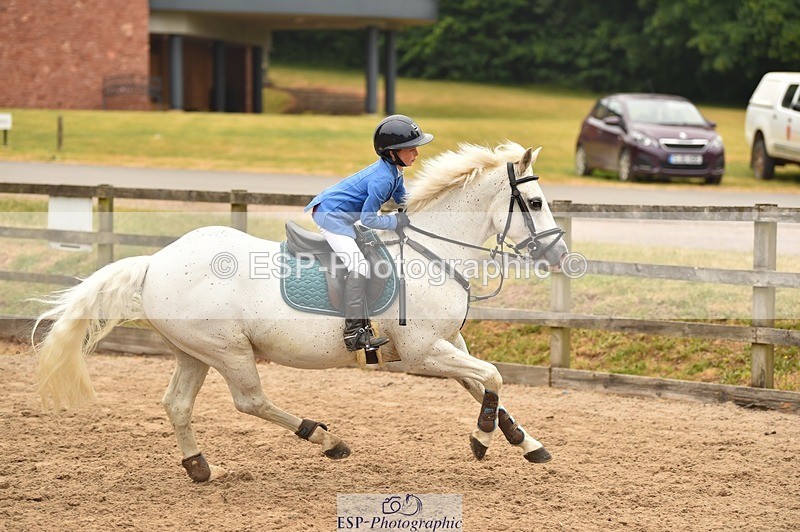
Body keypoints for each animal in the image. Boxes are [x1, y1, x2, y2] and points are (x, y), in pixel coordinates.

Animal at [34, 141, 569, 482]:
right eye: (534, 202)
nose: (560, 256)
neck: (431, 252)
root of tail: (154, 263)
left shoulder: (446, 343)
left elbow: (486, 386)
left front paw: (524, 442)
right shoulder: (422, 352)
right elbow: (492, 377)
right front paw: (481, 441)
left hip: (194, 352)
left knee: (177, 404)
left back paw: (200, 468)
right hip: (229, 351)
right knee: (250, 401)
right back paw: (326, 440)